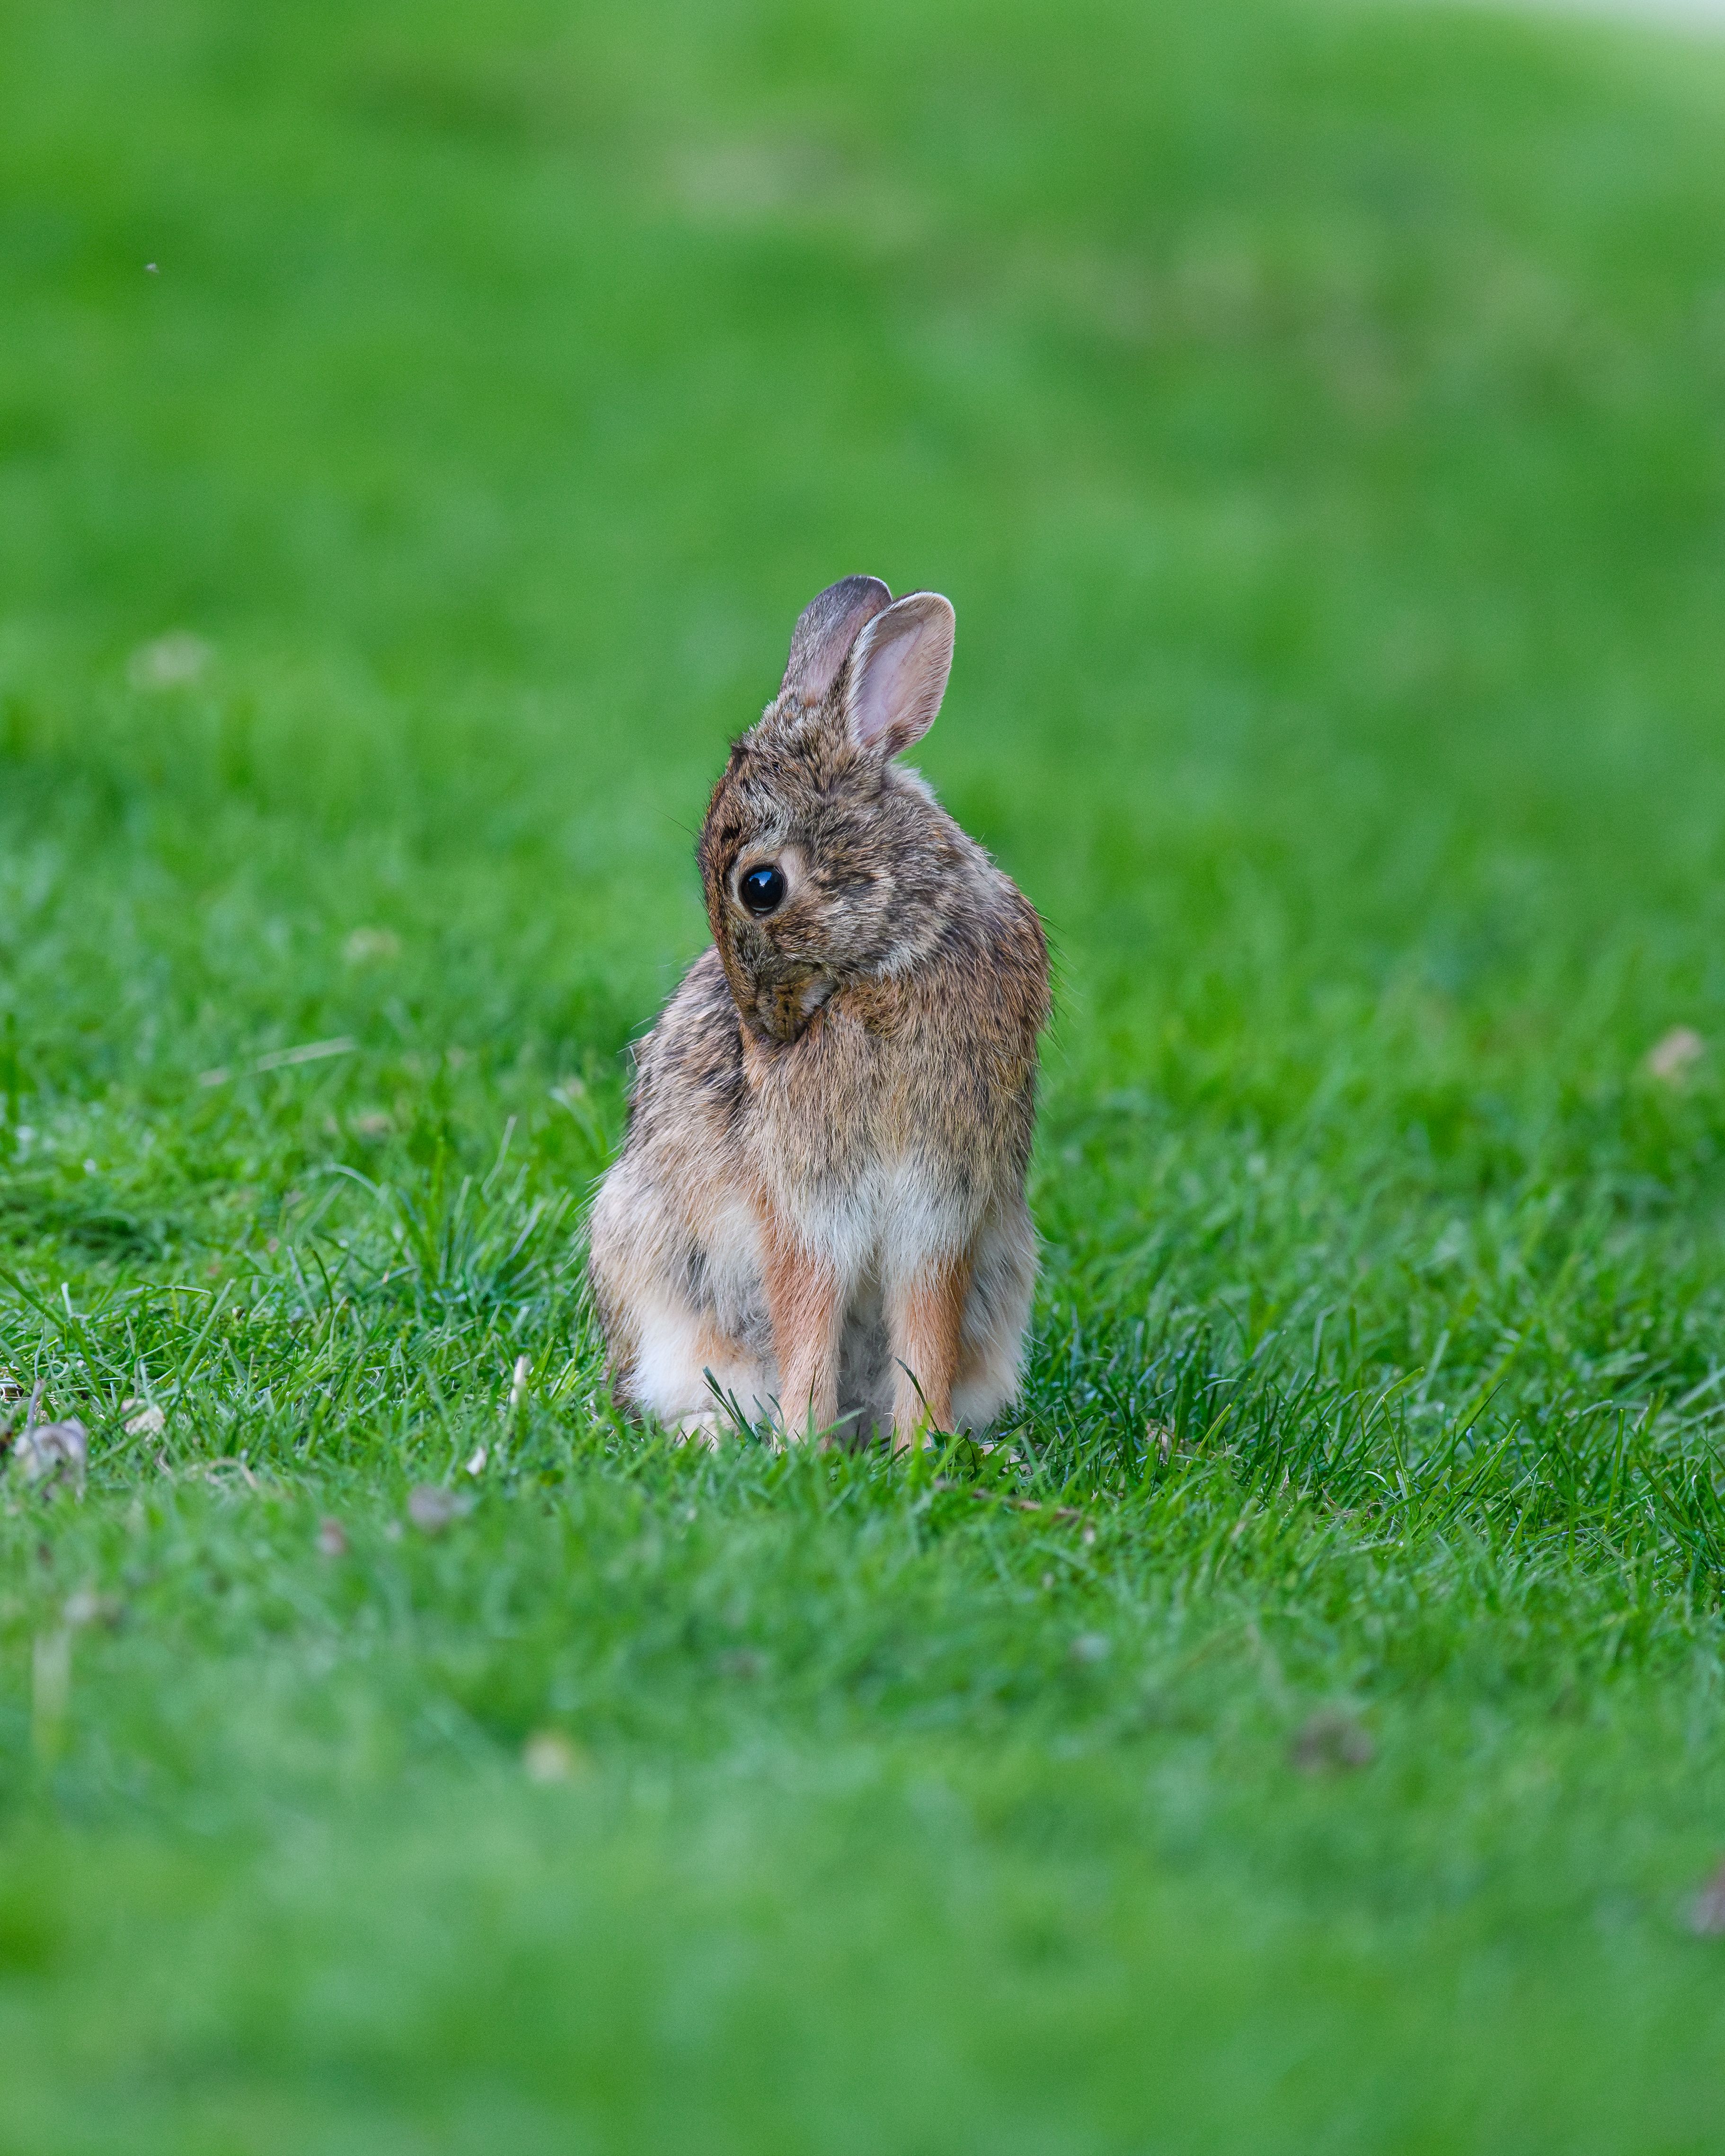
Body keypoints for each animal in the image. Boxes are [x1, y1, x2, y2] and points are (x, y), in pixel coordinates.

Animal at [587, 575, 1048, 1449]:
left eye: (760, 887)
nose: (763, 1032)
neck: (892, 961)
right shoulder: (807, 1200)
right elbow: (807, 1315)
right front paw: (802, 1447)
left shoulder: (942, 1202)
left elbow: (925, 1329)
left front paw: (923, 1451)